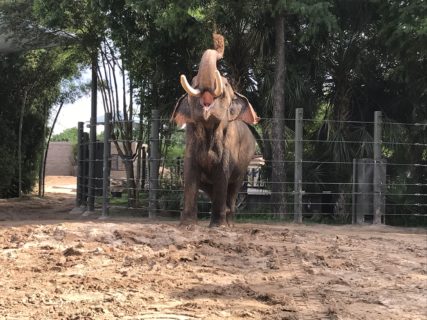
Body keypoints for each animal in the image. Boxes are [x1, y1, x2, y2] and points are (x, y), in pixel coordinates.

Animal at [171, 33, 260, 226]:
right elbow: (190, 172)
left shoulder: (228, 146)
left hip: (245, 164)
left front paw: (218, 227)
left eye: (225, 85)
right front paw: (187, 226)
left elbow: (222, 174)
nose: (217, 38)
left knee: (234, 188)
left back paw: (229, 221)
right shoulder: (190, 144)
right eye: (194, 81)